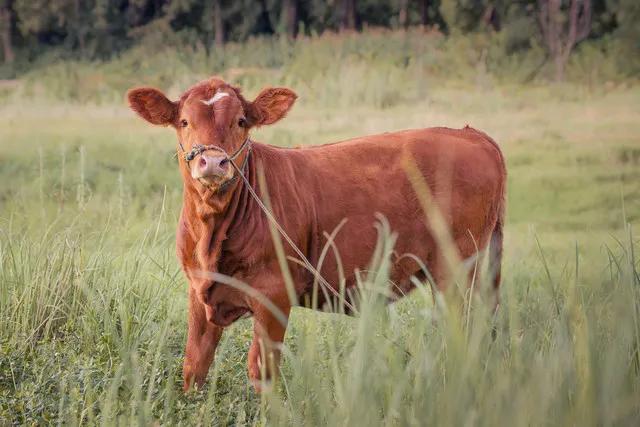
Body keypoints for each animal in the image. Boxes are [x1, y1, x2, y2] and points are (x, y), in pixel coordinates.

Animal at [126, 77, 504, 394]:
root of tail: (470, 134)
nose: (214, 163)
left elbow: (263, 370)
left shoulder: (274, 295)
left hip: (457, 270)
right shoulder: (198, 290)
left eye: (241, 121)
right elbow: (195, 365)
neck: (212, 233)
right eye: (184, 122)